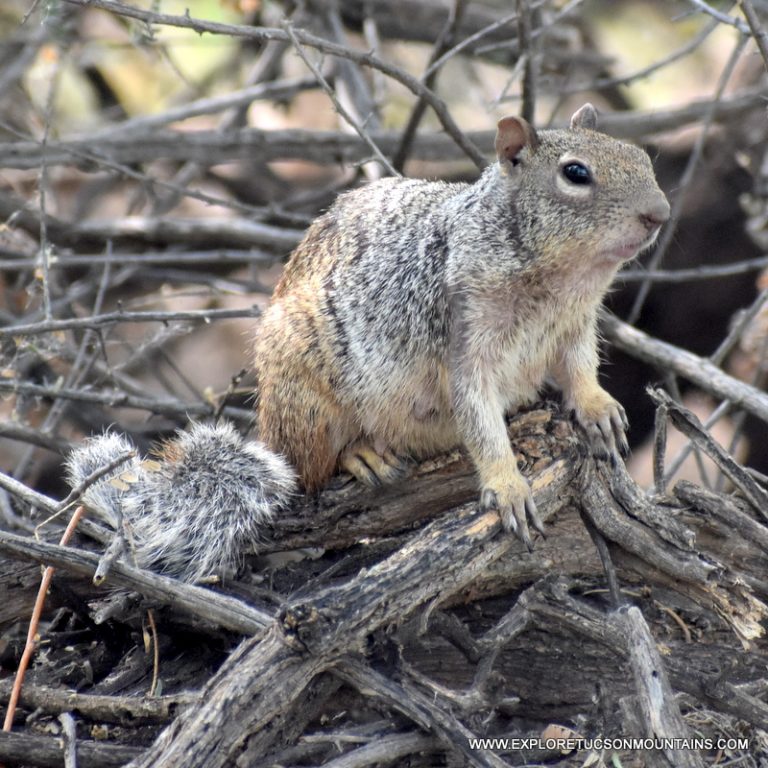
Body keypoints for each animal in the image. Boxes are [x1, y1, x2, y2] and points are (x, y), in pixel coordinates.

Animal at [66, 103, 668, 584]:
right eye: (575, 173)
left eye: (641, 156)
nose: (659, 214)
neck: (562, 281)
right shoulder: (463, 338)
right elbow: (477, 416)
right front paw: (508, 483)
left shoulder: (576, 327)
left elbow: (580, 368)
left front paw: (596, 408)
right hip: (305, 394)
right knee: (309, 473)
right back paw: (359, 456)